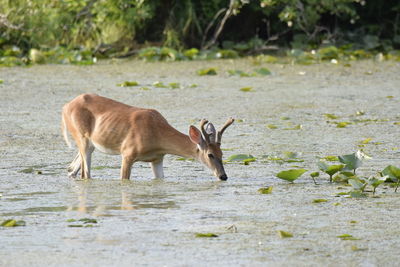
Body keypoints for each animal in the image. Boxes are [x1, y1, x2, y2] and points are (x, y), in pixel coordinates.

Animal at [60, 94, 233, 182]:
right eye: (210, 155)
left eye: (222, 153)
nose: (223, 176)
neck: (157, 135)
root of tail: (65, 107)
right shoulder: (127, 154)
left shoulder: (157, 159)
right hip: (82, 138)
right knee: (85, 173)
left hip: (89, 145)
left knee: (71, 169)